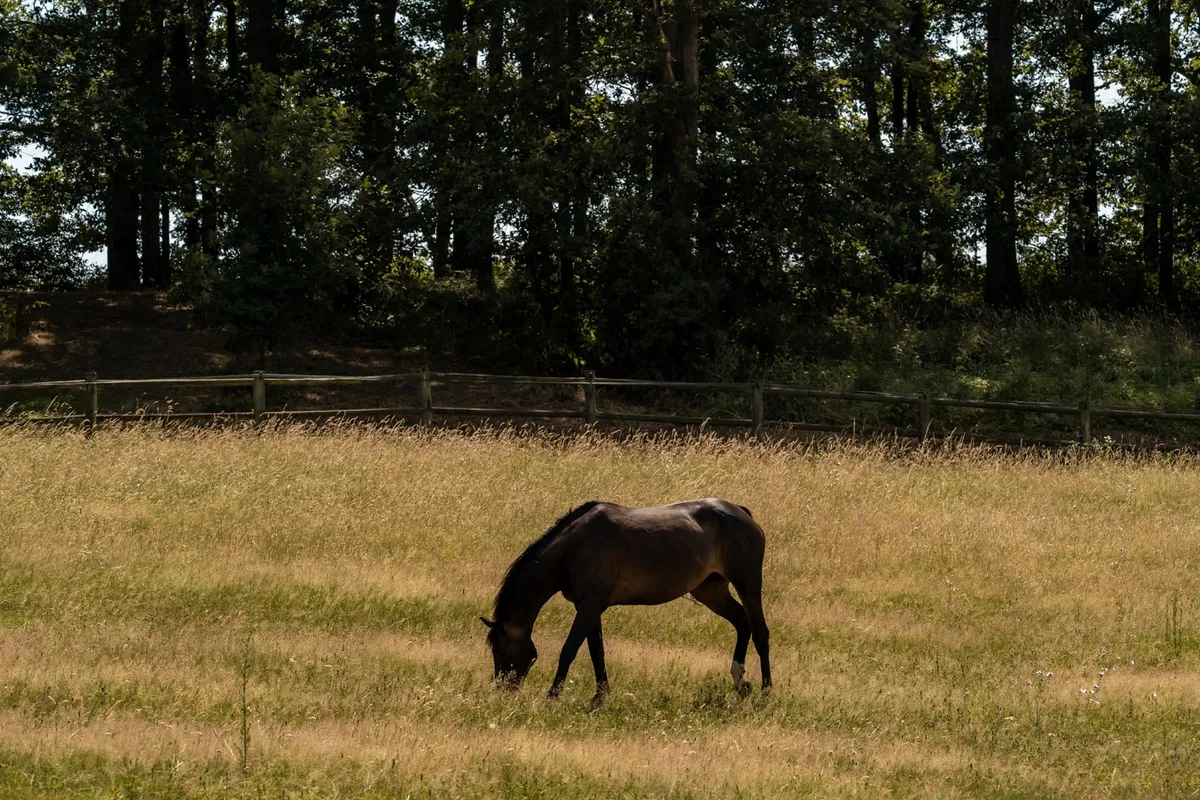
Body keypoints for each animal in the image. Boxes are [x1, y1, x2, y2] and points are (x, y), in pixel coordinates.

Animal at [479, 498, 771, 703]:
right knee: (742, 624)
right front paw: (600, 697)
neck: (574, 547)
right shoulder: (589, 607)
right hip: (710, 591)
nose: (503, 689)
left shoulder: (590, 606)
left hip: (748, 587)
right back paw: (740, 682)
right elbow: (596, 651)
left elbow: (569, 650)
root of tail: (741, 512)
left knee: (760, 632)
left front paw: (552, 697)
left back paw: (766, 690)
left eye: (501, 650)